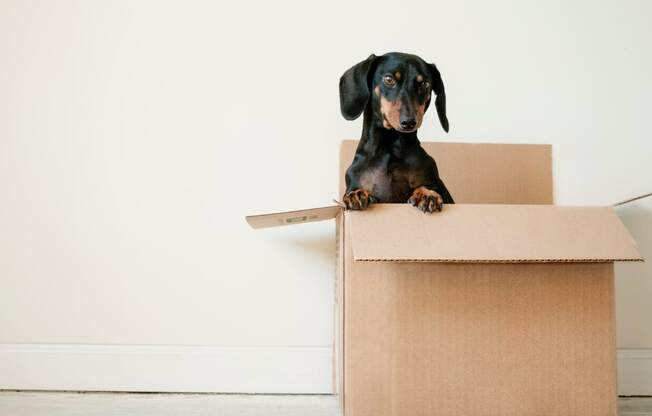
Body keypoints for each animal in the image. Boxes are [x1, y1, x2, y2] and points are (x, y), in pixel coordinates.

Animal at [342, 52, 454, 213]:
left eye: (425, 84)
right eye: (389, 79)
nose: (409, 122)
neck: (390, 147)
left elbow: (427, 186)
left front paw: (427, 194)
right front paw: (356, 194)